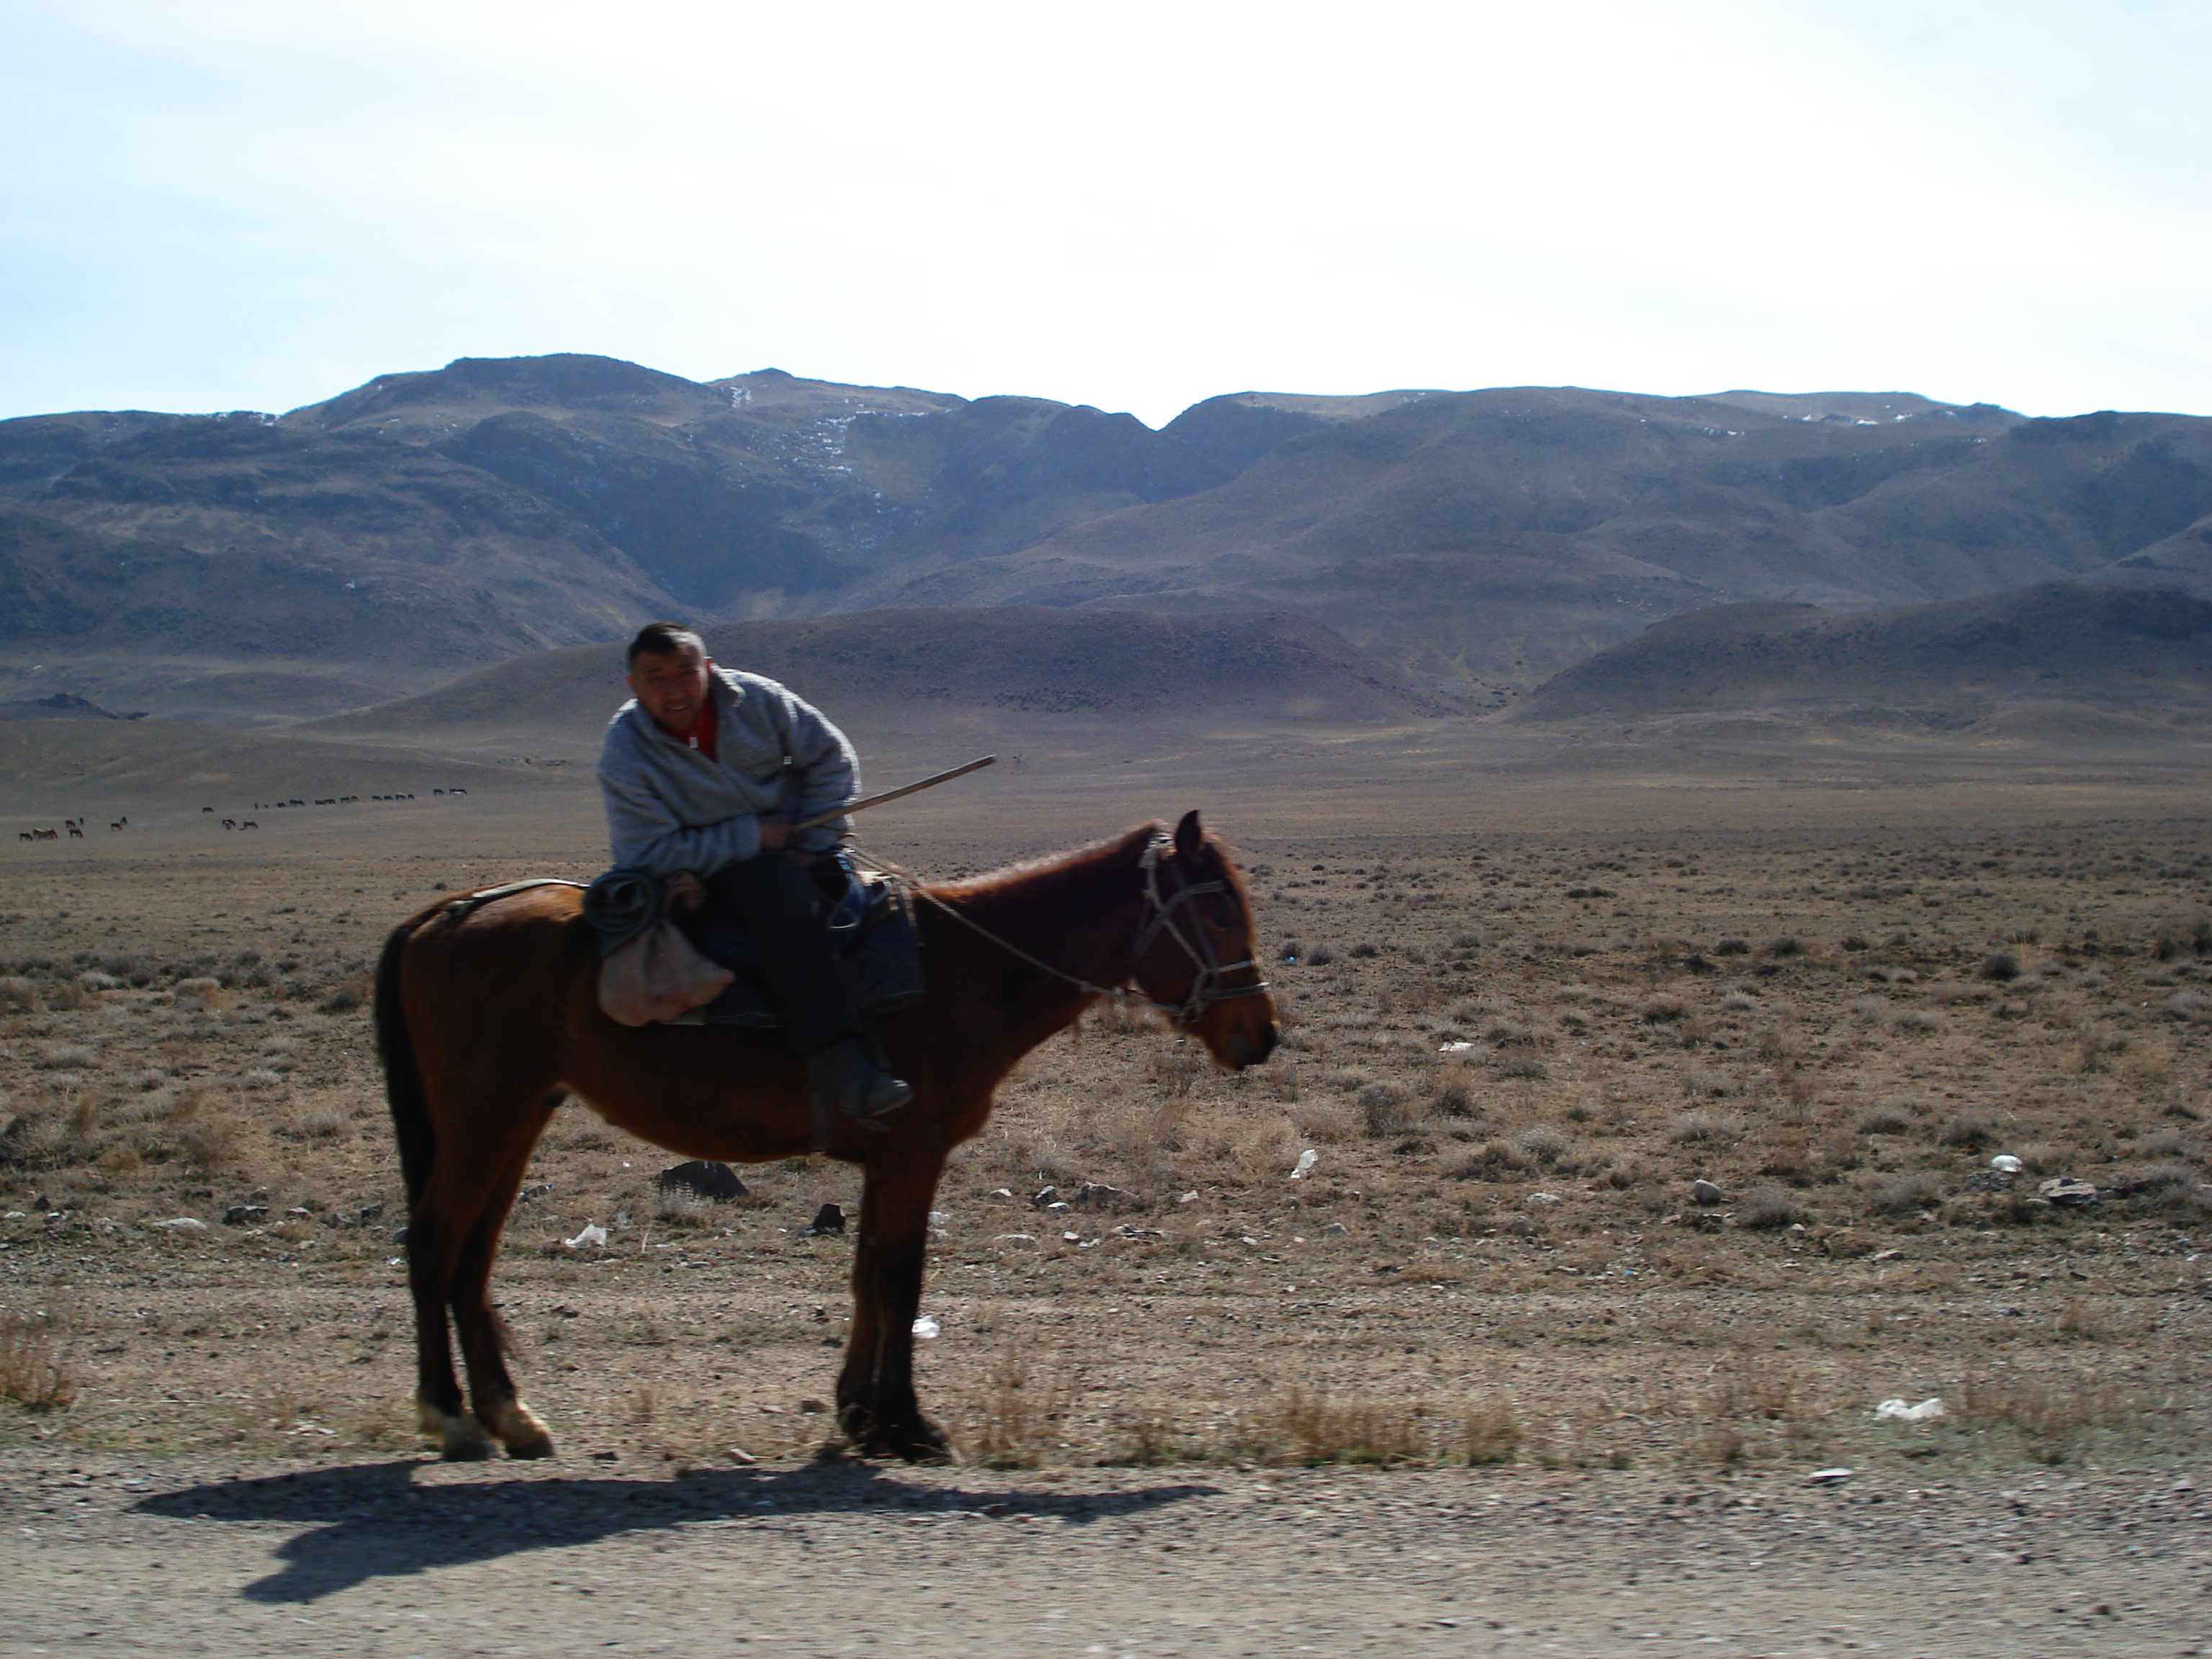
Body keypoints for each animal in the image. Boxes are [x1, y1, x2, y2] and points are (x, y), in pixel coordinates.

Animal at [380, 814, 1282, 1460]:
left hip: (514, 1117)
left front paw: (860, 1414)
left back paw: (511, 1417)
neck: (973, 969)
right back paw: (450, 1417)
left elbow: (866, 1279)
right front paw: (908, 1427)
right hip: (484, 1117)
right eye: (1215, 910)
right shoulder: (916, 1154)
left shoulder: (888, 1161)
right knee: (433, 1243)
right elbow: (900, 1282)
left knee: (471, 1258)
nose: (1262, 1035)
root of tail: (439, 919)